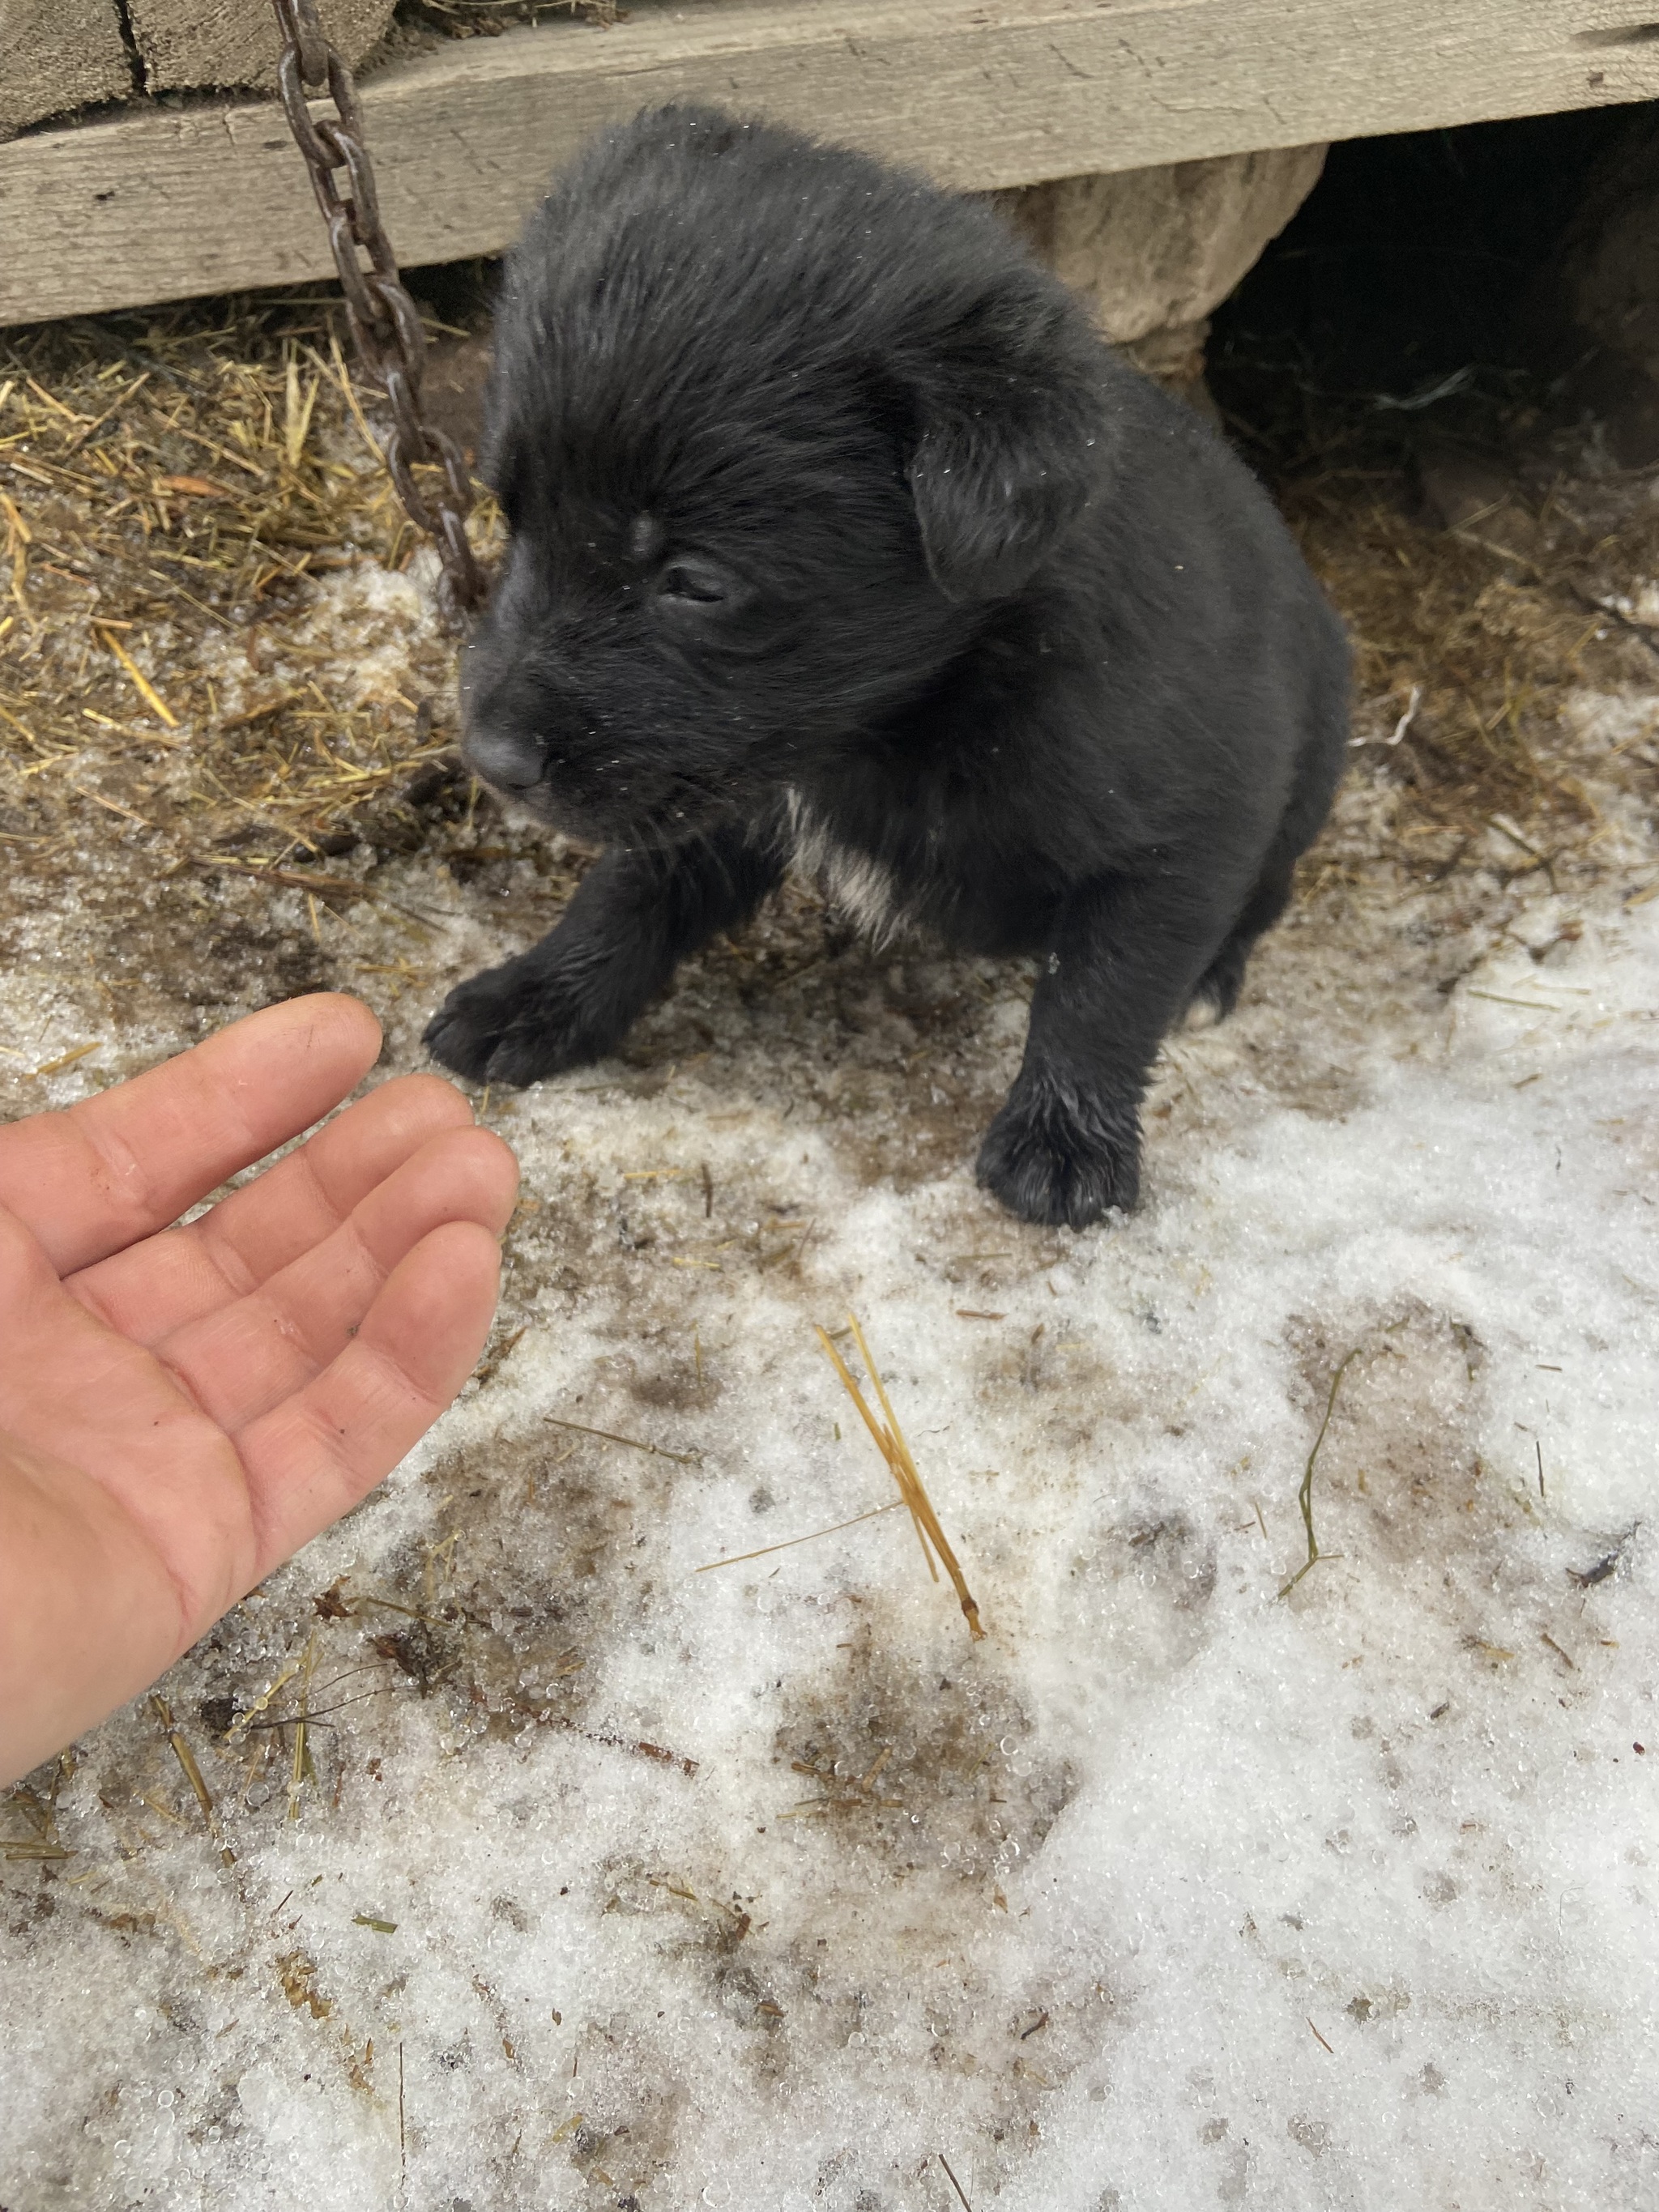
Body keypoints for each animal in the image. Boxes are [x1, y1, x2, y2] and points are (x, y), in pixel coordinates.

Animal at [429, 108, 1354, 1230]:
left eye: (694, 581)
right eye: (511, 517)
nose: (491, 758)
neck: (921, 708)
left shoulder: (1185, 831)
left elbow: (1104, 991)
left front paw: (1064, 1142)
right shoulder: (719, 783)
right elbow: (624, 893)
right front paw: (536, 998)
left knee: (1259, 895)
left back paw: (1212, 978)